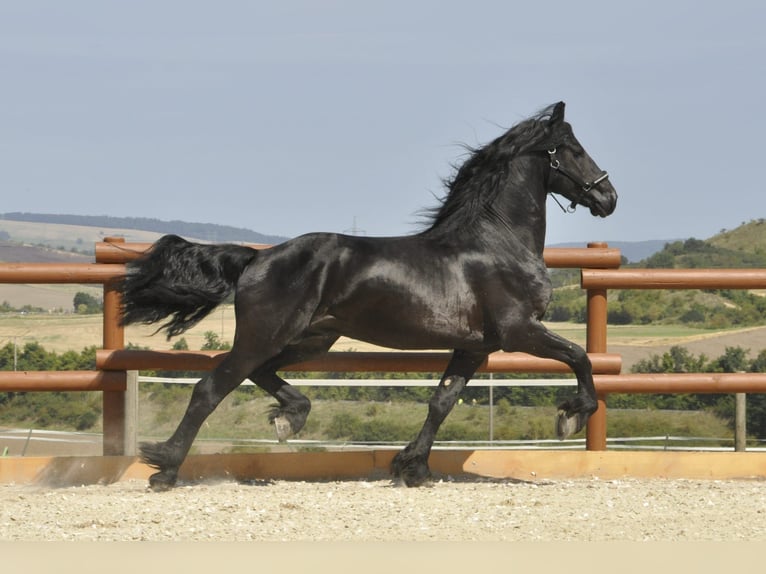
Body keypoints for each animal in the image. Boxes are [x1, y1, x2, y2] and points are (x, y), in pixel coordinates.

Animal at [119, 101, 617, 491]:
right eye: (574, 150)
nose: (609, 197)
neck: (496, 244)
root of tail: (257, 258)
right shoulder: (519, 331)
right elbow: (579, 356)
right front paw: (571, 414)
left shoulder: (475, 346)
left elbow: (442, 401)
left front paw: (411, 467)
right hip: (267, 335)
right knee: (211, 387)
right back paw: (164, 469)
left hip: (310, 339)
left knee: (258, 373)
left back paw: (290, 416)